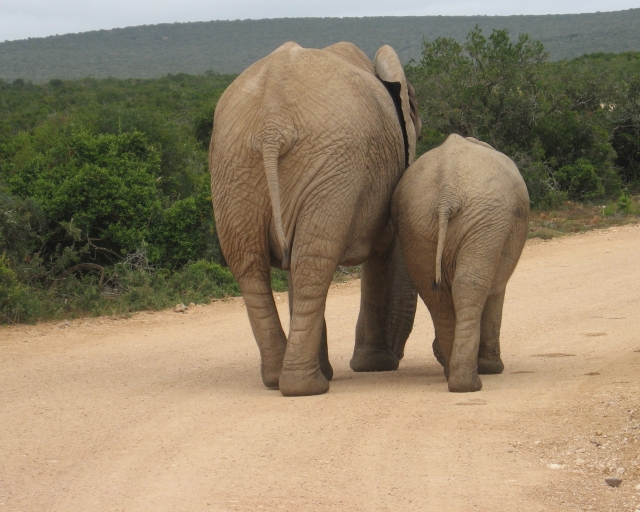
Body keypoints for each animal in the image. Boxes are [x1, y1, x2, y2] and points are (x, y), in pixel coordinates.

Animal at [208, 41, 421, 396]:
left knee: (259, 265)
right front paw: (375, 365)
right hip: (328, 167)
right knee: (311, 261)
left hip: (235, 167)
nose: (398, 354)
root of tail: (272, 123)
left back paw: (281, 380)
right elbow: (381, 255)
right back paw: (306, 386)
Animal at [391, 134, 529, 392]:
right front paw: (492, 369)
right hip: (485, 220)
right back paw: (469, 383)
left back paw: (453, 378)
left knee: (436, 294)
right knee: (469, 286)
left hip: (416, 223)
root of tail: (447, 194)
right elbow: (495, 293)